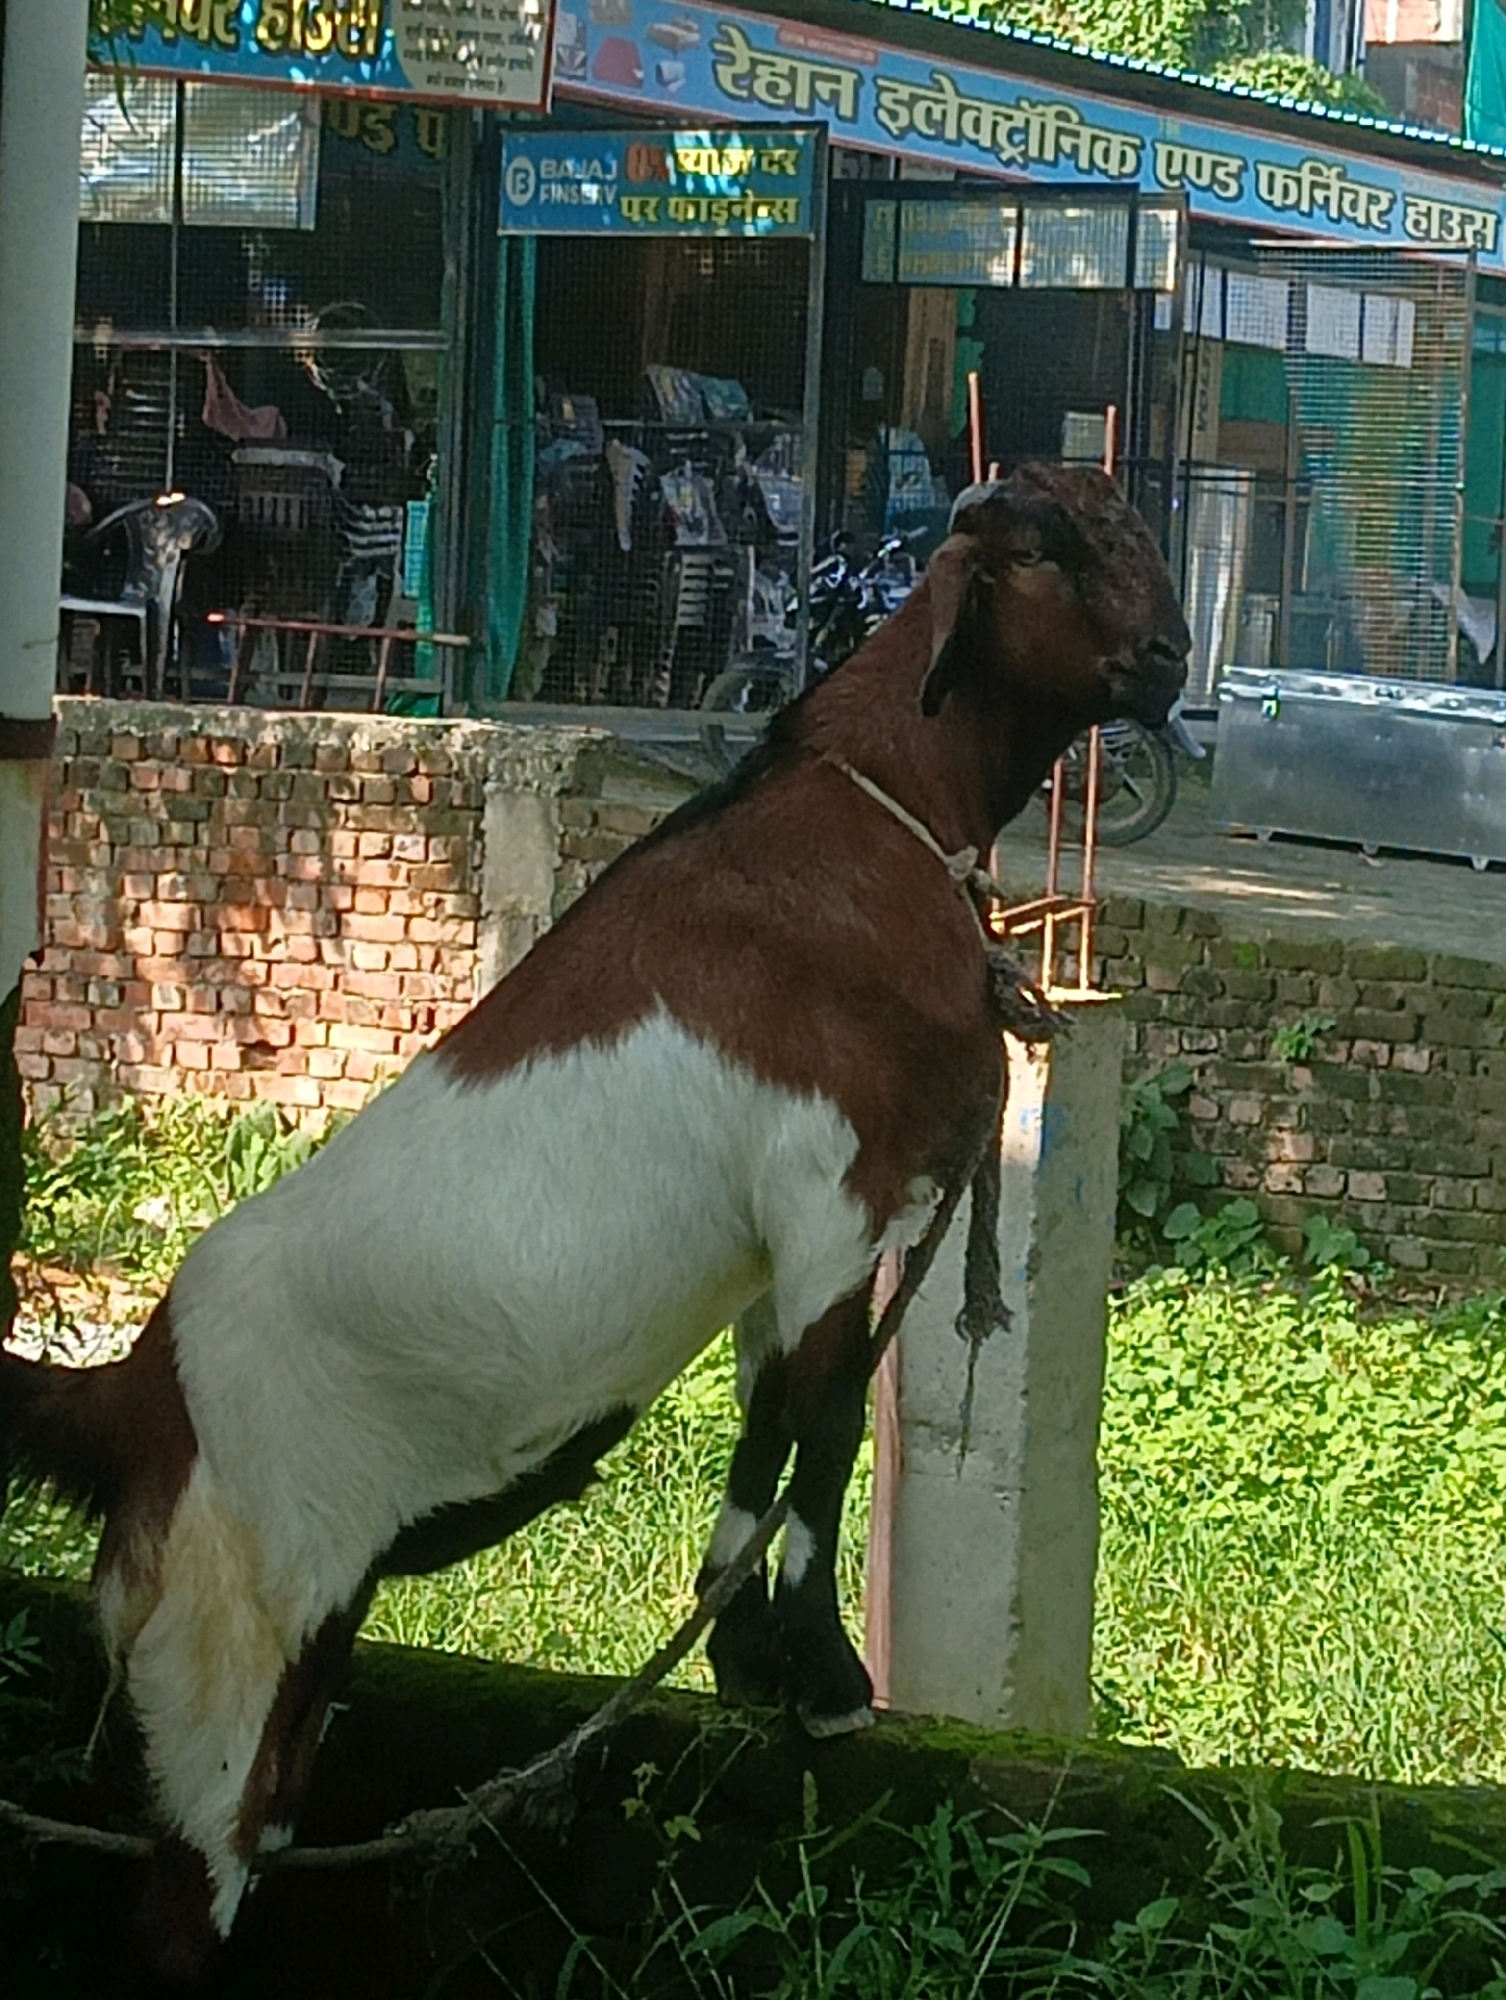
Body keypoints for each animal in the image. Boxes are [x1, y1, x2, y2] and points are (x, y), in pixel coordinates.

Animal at [0, 463, 1189, 1981]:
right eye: (1048, 549)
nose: (1170, 658)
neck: (869, 812)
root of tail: (137, 1389)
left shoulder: (779, 1250)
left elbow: (768, 1427)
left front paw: (741, 1656)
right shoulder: (833, 1199)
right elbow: (825, 1436)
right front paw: (822, 1677)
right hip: (234, 1636)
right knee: (181, 1899)